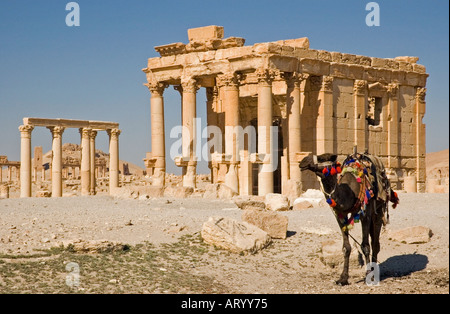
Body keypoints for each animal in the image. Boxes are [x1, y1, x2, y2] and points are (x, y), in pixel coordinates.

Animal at [300, 152, 400, 284]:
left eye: (321, 158)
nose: (302, 161)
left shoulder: (365, 214)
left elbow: (365, 246)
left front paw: (369, 276)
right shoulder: (340, 215)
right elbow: (346, 247)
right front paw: (343, 278)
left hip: (378, 210)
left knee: (375, 243)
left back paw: (374, 272)